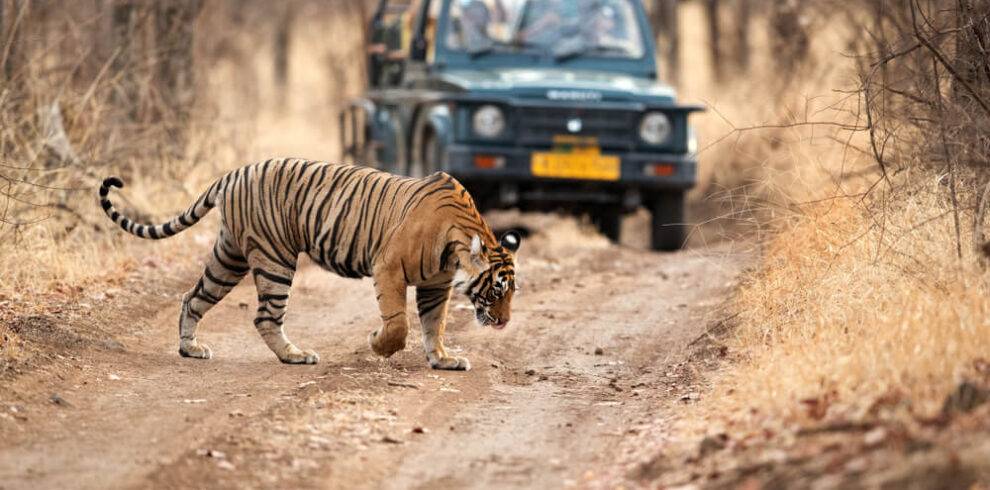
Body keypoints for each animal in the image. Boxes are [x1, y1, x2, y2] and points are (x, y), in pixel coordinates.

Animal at [97, 159, 524, 370]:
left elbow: (434, 325)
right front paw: (377, 343)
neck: (458, 243)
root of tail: (234, 173)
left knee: (193, 296)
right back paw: (295, 356)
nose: (505, 322)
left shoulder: (436, 285)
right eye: (497, 289)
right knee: (265, 317)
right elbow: (399, 323)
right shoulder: (388, 267)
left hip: (229, 257)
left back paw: (191, 348)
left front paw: (443, 359)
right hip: (275, 258)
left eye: (511, 292)